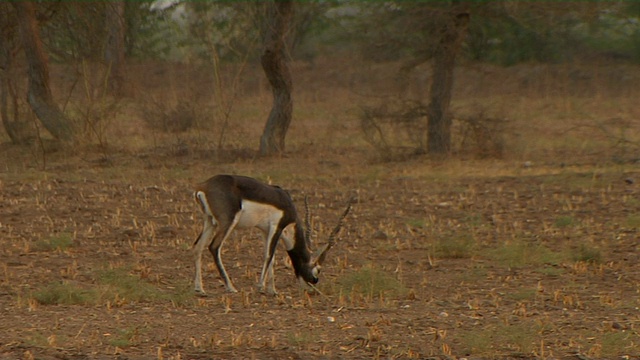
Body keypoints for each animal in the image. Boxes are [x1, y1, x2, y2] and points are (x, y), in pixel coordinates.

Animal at [192, 174, 352, 296]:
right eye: (318, 269)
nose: (313, 283)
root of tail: (203, 187)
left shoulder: (265, 231)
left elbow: (271, 258)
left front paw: (272, 290)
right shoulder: (277, 227)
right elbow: (268, 256)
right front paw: (260, 287)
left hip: (209, 222)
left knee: (198, 246)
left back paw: (199, 289)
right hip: (227, 222)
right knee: (214, 247)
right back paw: (231, 287)